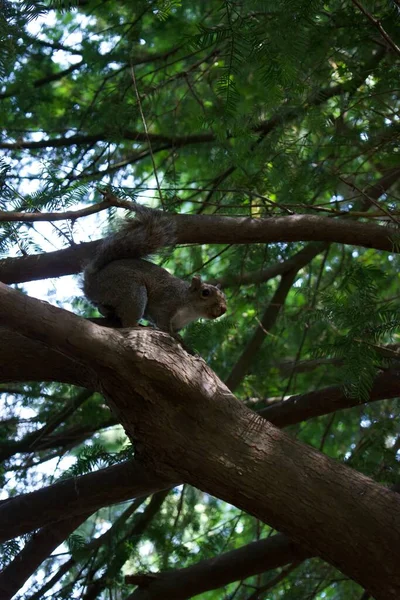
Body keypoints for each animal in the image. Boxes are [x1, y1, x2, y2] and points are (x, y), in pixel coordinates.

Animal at [83, 206, 227, 336]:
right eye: (205, 292)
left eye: (224, 296)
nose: (223, 309)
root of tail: (92, 283)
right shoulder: (166, 305)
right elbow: (163, 323)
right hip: (131, 290)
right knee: (128, 321)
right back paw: (136, 326)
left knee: (103, 308)